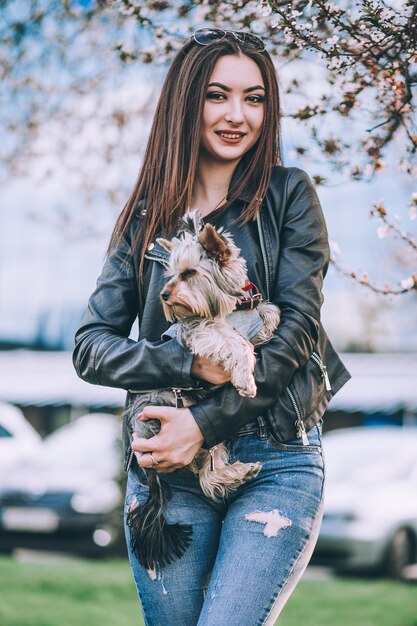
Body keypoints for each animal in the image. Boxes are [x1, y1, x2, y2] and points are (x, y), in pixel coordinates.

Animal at [124, 211, 280, 572]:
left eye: (189, 273)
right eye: (170, 275)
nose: (165, 296)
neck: (234, 306)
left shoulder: (249, 311)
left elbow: (269, 311)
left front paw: (269, 324)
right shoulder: (201, 331)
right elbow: (233, 340)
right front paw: (245, 377)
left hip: (207, 432)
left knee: (209, 474)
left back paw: (239, 472)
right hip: (172, 408)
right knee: (206, 477)